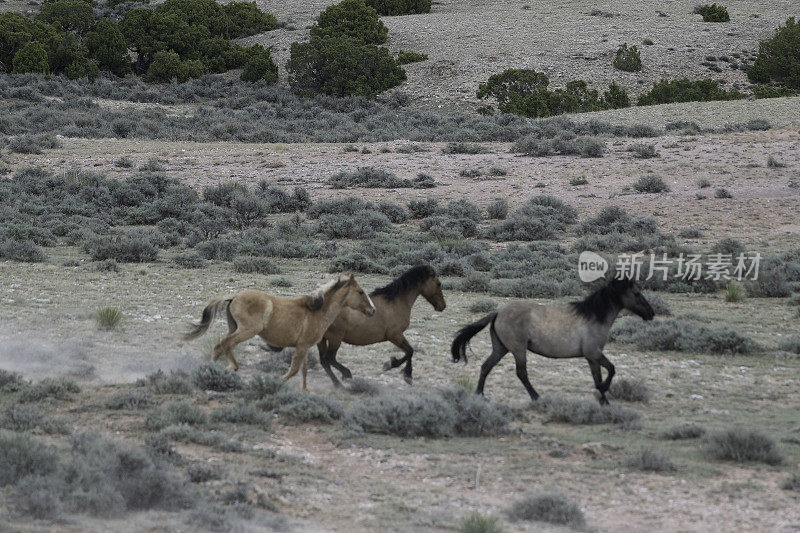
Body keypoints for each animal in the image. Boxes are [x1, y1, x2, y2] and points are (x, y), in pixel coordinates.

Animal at [184, 274, 376, 386]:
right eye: (360, 292)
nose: (372, 310)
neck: (318, 312)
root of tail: (234, 296)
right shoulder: (302, 346)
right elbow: (294, 370)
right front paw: (279, 382)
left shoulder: (305, 347)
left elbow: (303, 373)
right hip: (248, 330)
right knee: (224, 344)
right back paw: (225, 368)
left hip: (235, 328)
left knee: (223, 345)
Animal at [454, 278, 652, 404]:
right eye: (636, 293)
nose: (651, 313)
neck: (594, 318)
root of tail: (498, 313)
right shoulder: (594, 353)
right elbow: (611, 369)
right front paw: (604, 390)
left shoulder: (591, 357)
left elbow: (598, 376)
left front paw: (604, 400)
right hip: (518, 349)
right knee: (521, 373)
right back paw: (536, 397)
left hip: (501, 348)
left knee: (486, 367)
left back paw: (480, 395)